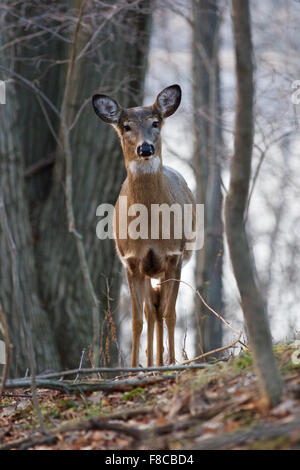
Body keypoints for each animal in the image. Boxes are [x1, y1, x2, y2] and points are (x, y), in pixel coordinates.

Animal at [94, 83, 197, 368]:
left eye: (155, 122)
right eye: (126, 126)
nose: (146, 149)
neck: (150, 228)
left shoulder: (173, 254)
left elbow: (170, 312)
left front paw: (171, 362)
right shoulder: (132, 260)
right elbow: (138, 320)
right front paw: (131, 368)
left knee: (160, 309)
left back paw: (161, 361)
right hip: (148, 270)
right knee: (151, 311)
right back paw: (152, 361)